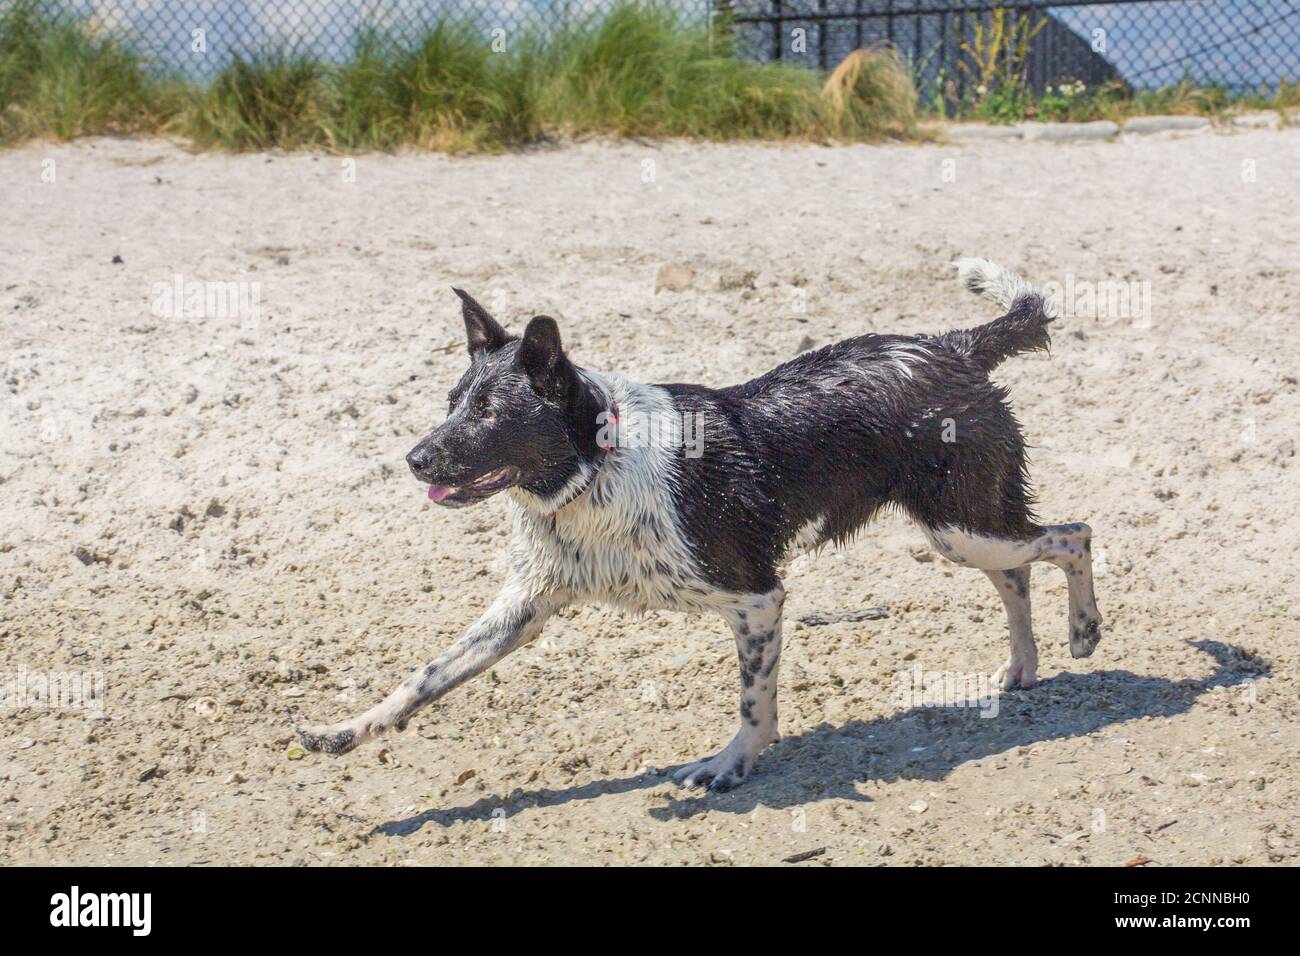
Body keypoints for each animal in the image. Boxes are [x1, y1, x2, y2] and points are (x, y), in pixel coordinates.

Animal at [299, 257, 1102, 790]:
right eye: (451, 402)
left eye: (490, 414)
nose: (414, 459)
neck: (598, 464)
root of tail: (954, 345)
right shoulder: (521, 613)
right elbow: (424, 678)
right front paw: (346, 730)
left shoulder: (756, 599)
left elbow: (753, 701)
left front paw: (731, 763)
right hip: (962, 531)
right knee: (1018, 572)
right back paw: (1024, 666)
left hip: (961, 524)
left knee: (1071, 536)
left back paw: (1084, 629)